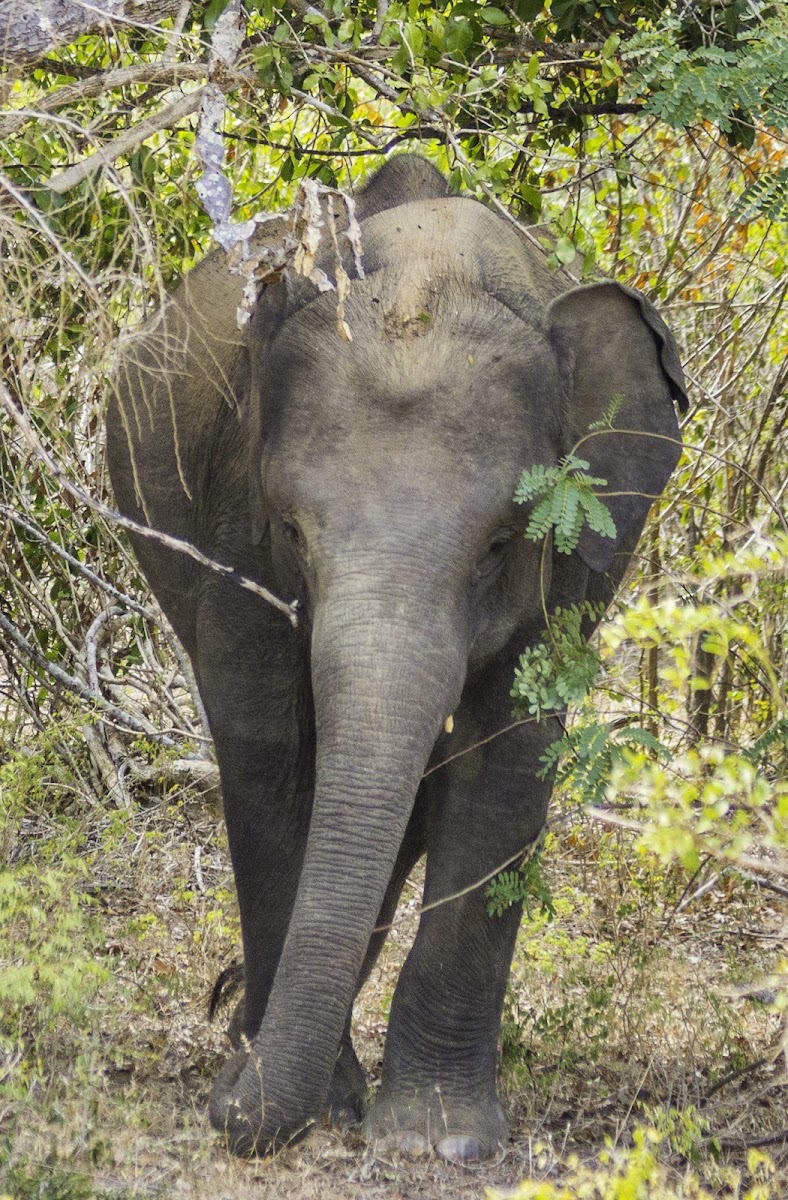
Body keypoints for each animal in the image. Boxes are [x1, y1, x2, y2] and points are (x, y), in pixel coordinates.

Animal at [107, 157, 686, 1161]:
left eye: (499, 543)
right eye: (290, 531)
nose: (225, 1111)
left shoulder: (576, 560)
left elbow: (509, 756)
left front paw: (433, 1140)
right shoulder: (230, 529)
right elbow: (268, 752)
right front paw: (310, 1102)